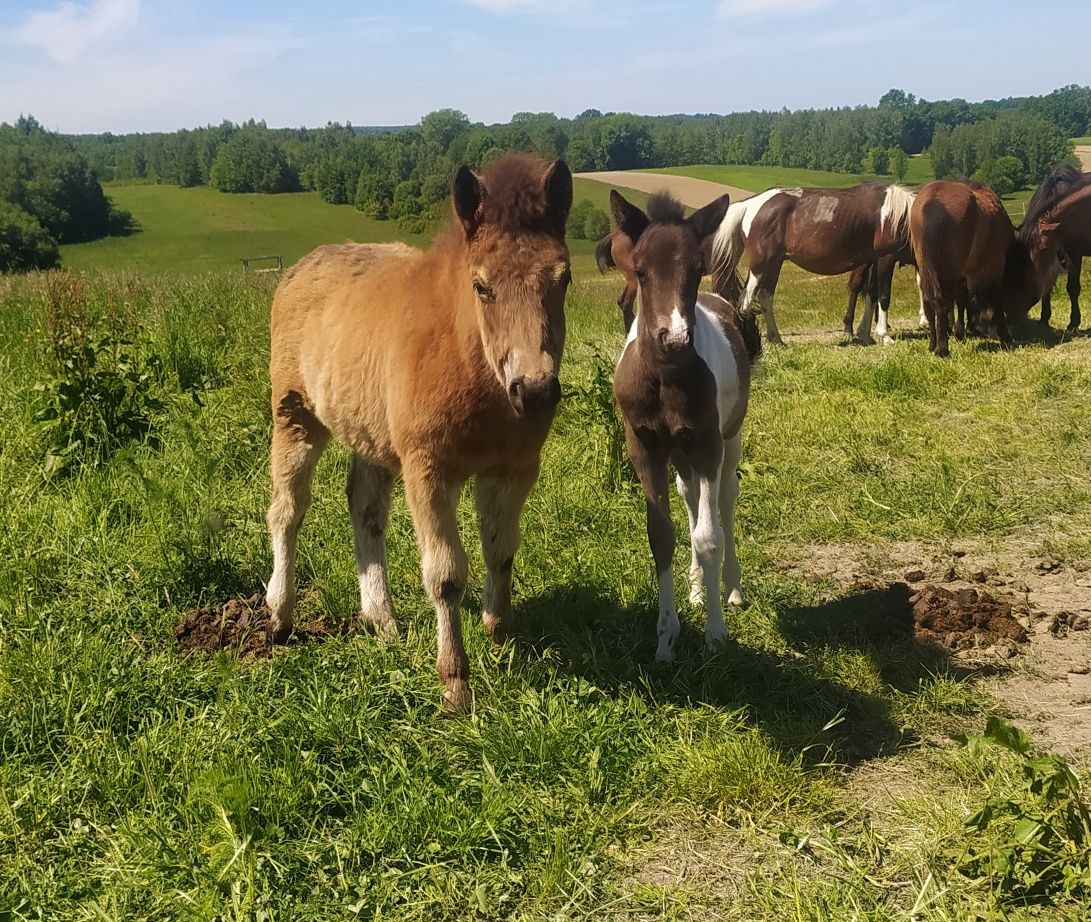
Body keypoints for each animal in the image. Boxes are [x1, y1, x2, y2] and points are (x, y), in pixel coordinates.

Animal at [266, 154, 571, 707]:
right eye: (481, 286)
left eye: (563, 278)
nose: (535, 392)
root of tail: (300, 267)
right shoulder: (428, 470)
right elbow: (446, 574)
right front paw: (455, 681)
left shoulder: (513, 468)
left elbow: (501, 549)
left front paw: (499, 632)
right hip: (295, 416)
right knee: (287, 510)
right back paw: (279, 615)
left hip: (371, 433)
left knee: (365, 507)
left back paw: (381, 618)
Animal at [610, 188, 763, 663]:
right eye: (640, 270)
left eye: (697, 268)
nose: (674, 337)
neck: (665, 379)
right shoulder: (644, 447)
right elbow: (662, 534)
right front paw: (666, 638)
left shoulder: (708, 442)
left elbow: (709, 537)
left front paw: (715, 634)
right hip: (680, 452)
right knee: (691, 495)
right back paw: (697, 589)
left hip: (728, 437)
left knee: (725, 498)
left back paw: (731, 589)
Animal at [711, 181, 916, 342]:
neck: (899, 217)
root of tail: (750, 205)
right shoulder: (886, 258)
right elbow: (883, 295)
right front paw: (884, 335)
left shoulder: (873, 261)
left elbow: (871, 296)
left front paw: (865, 335)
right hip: (761, 266)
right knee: (745, 301)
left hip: (774, 265)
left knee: (765, 298)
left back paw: (776, 339)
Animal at [907, 180, 1060, 355]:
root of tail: (932, 201)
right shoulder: (994, 266)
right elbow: (996, 298)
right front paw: (1004, 335)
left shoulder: (965, 273)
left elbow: (963, 298)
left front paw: (961, 331)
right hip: (947, 271)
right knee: (942, 302)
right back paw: (943, 349)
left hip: (926, 267)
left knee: (929, 301)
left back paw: (933, 344)